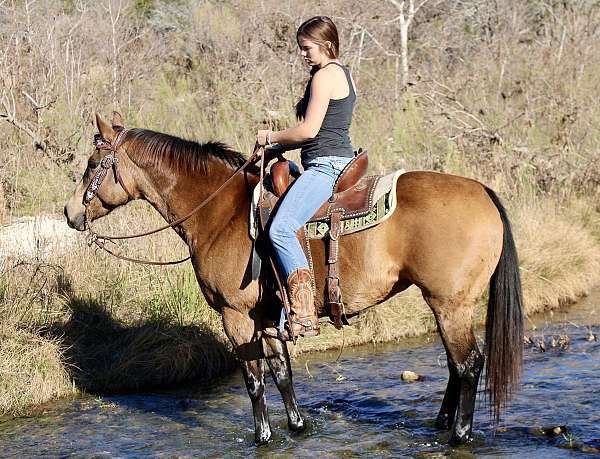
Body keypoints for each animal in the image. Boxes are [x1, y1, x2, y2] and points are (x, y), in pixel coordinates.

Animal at [63, 113, 524, 448]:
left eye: (92, 165)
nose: (70, 212)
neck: (220, 214)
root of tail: (483, 191)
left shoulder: (235, 316)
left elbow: (253, 380)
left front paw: (263, 437)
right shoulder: (267, 316)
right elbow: (281, 371)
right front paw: (298, 426)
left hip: (450, 304)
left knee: (469, 364)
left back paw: (460, 434)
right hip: (445, 305)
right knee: (454, 365)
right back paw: (442, 422)